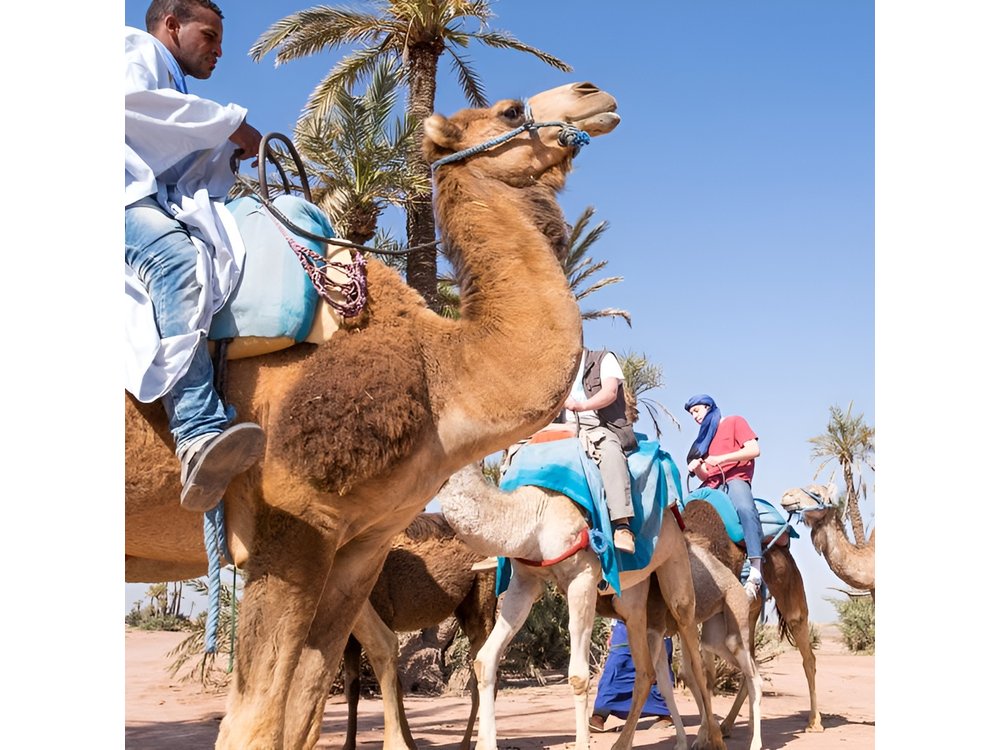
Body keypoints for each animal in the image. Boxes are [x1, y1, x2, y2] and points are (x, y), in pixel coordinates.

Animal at [344, 512, 496, 750]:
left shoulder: (383, 612)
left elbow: (393, 684)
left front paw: (406, 744)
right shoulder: (350, 633)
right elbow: (352, 688)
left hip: (483, 598)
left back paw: (467, 744)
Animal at [438, 461, 745, 750]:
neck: (535, 515)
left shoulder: (582, 577)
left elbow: (578, 676)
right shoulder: (525, 581)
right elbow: (485, 659)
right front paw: (485, 744)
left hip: (677, 576)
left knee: (696, 663)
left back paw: (714, 738)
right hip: (637, 608)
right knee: (647, 671)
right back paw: (626, 743)